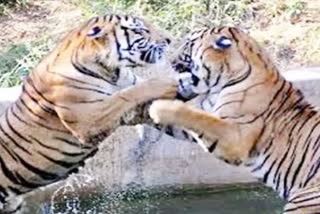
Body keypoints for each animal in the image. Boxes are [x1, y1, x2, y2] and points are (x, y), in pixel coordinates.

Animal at [0, 14, 178, 213]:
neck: (110, 70)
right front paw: (167, 82)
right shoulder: (88, 119)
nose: (169, 40)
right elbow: (127, 95)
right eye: (139, 30)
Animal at [149, 27, 320, 214]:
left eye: (189, 44)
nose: (170, 60)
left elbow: (196, 117)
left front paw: (160, 107)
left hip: (304, 201)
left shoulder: (234, 136)